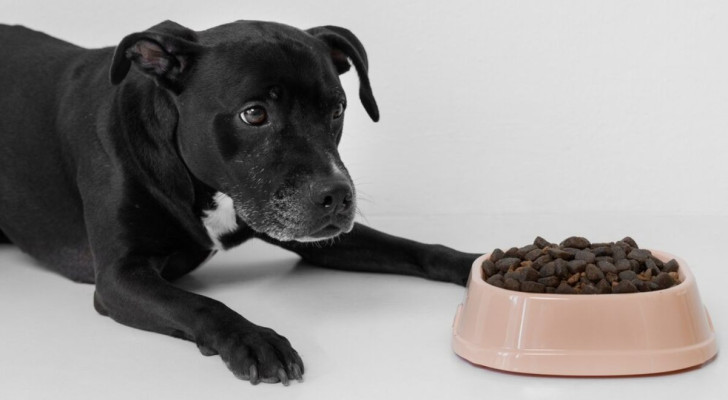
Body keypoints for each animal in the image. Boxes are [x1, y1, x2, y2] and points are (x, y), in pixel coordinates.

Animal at [0, 21, 478, 384]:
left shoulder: (314, 237)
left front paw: (474, 263)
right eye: (254, 114)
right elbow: (199, 304)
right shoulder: (120, 276)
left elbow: (413, 248)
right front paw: (254, 339)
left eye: (338, 109)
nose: (338, 195)